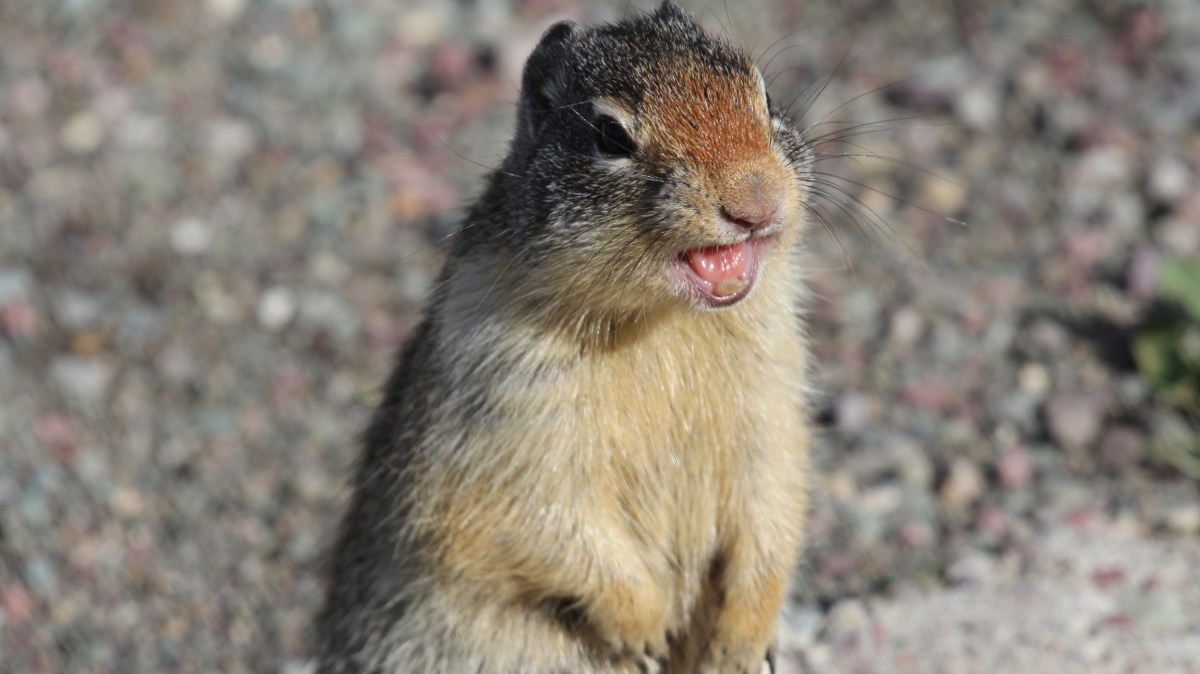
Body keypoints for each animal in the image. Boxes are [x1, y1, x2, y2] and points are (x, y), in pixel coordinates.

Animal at [317, 3, 813, 673]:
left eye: (761, 95)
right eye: (610, 135)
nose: (756, 201)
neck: (662, 323)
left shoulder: (772, 399)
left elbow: (773, 506)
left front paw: (738, 641)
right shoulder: (505, 419)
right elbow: (547, 528)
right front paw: (648, 628)